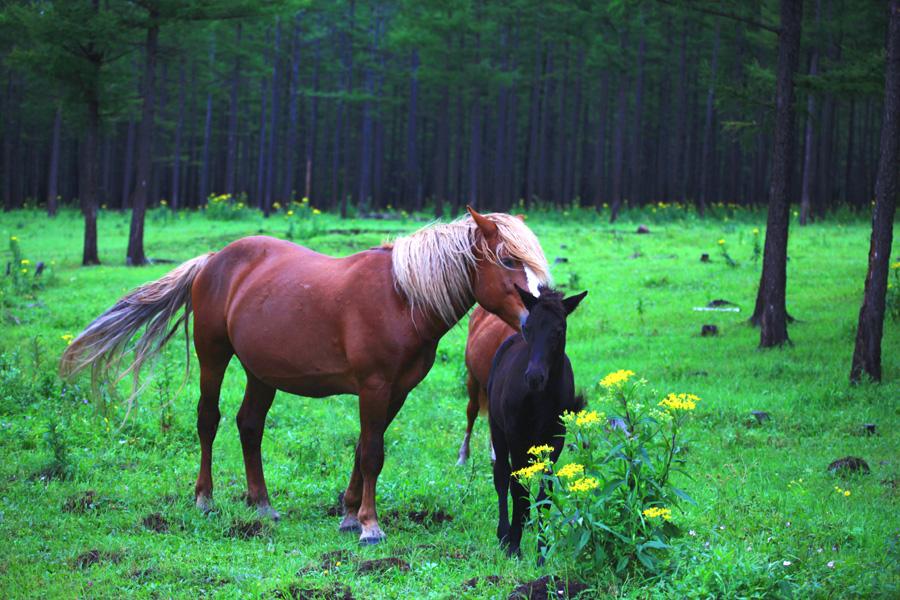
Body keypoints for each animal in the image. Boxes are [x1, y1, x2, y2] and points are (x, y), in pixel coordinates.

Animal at [59, 207, 548, 544]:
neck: (402, 297)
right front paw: (370, 525)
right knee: (208, 421)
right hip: (213, 357)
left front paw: (349, 515)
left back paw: (262, 504)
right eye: (507, 260)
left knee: (249, 426)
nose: (536, 319)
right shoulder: (373, 387)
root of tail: (215, 259)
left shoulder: (396, 392)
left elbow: (362, 450)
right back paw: (205, 498)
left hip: (261, 372)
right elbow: (373, 454)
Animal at [488, 284, 588, 556]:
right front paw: (513, 545)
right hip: (497, 428)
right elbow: (517, 487)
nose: (534, 377)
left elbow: (545, 492)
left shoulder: (555, 439)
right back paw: (505, 531)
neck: (541, 397)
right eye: (528, 327)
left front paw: (543, 549)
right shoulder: (515, 434)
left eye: (559, 330)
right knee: (502, 475)